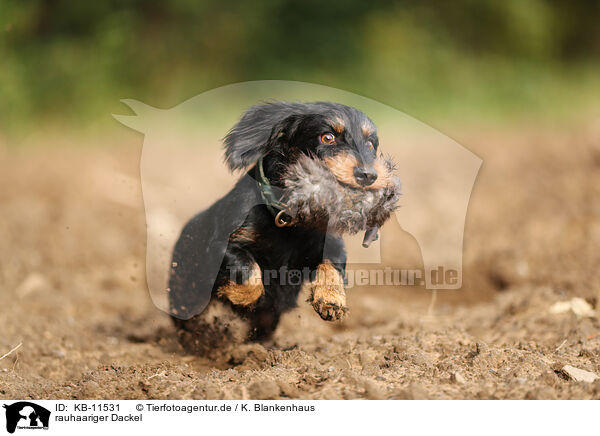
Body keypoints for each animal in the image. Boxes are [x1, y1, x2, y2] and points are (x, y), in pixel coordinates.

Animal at [169, 101, 400, 354]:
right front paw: (241, 298)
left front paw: (331, 300)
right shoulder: (223, 244)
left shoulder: (331, 245)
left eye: (370, 144)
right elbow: (249, 273)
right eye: (327, 137)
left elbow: (332, 266)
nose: (368, 175)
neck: (292, 224)